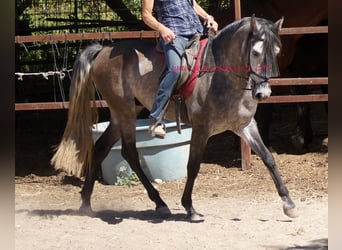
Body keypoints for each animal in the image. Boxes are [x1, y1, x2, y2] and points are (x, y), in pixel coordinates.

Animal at [52, 15, 298, 220]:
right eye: (255, 52)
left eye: (277, 51)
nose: (263, 93)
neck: (220, 75)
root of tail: (102, 51)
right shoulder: (201, 129)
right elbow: (193, 166)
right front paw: (189, 207)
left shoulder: (245, 125)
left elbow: (268, 158)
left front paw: (288, 203)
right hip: (125, 112)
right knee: (129, 153)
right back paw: (159, 203)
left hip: (121, 114)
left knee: (101, 148)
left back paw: (86, 202)